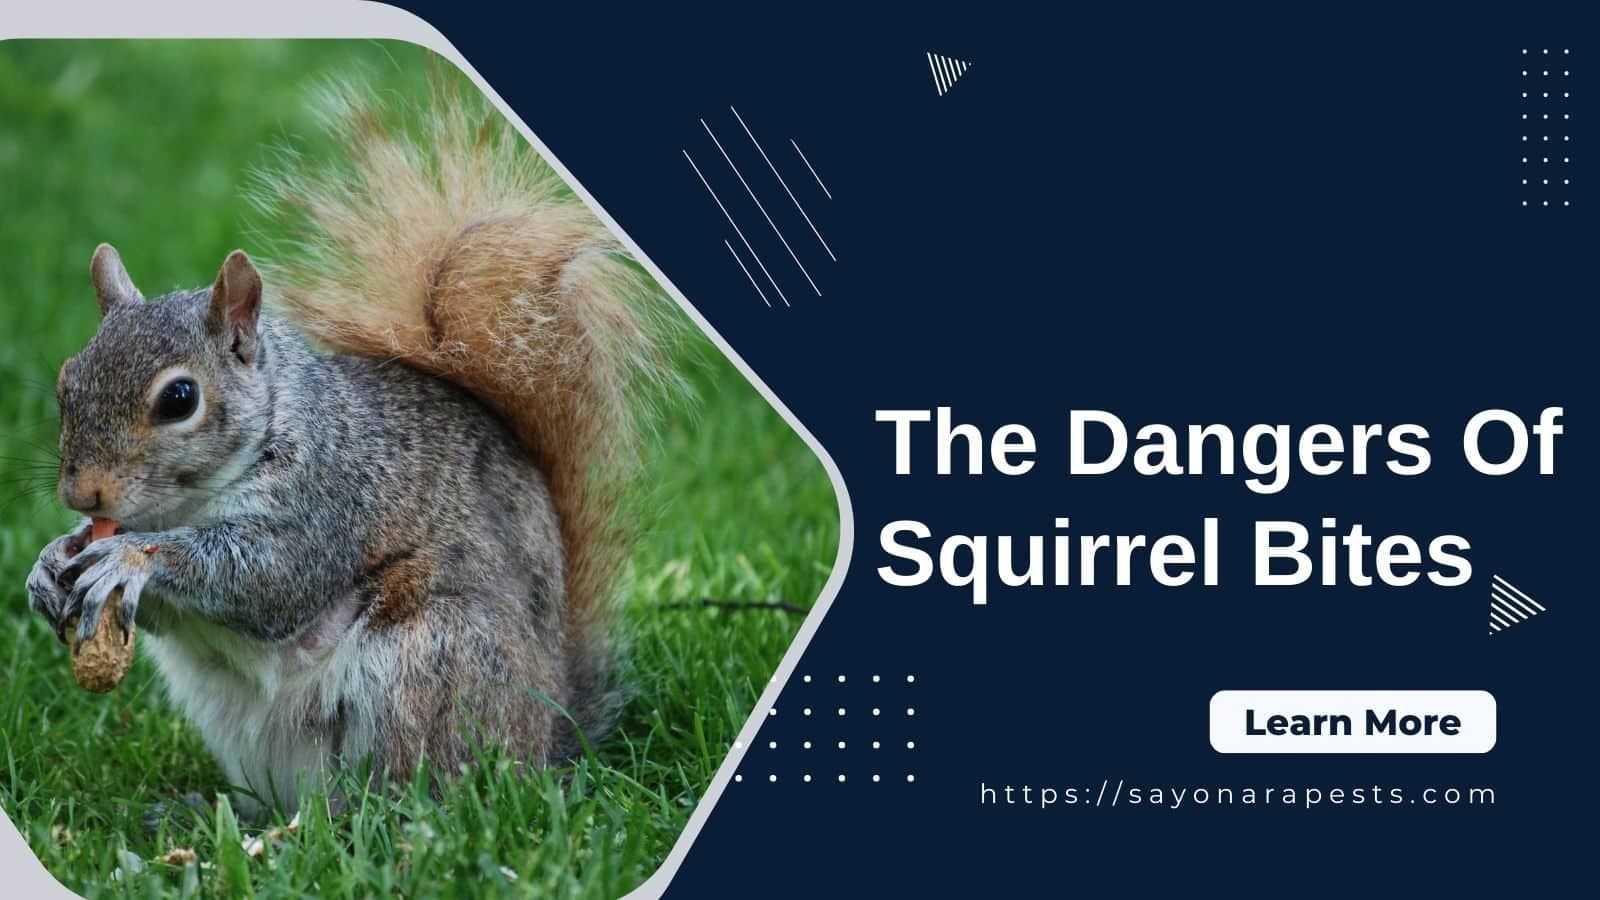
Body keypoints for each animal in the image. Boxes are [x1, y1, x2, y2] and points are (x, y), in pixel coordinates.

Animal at [24, 76, 675, 816]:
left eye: (180, 399)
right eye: (66, 380)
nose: (81, 492)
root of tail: (548, 740)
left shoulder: (330, 497)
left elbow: (267, 577)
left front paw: (129, 556)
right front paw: (50, 561)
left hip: (428, 665)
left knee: (407, 798)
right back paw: (215, 812)